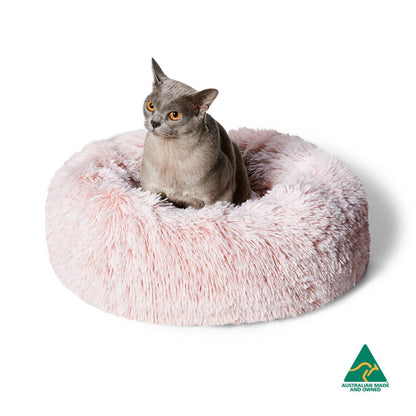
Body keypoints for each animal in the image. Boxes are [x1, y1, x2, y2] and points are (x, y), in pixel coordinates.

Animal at [140, 58, 251, 209]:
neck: (171, 153)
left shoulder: (217, 199)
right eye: (150, 106)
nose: (154, 122)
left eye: (175, 115)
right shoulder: (150, 189)